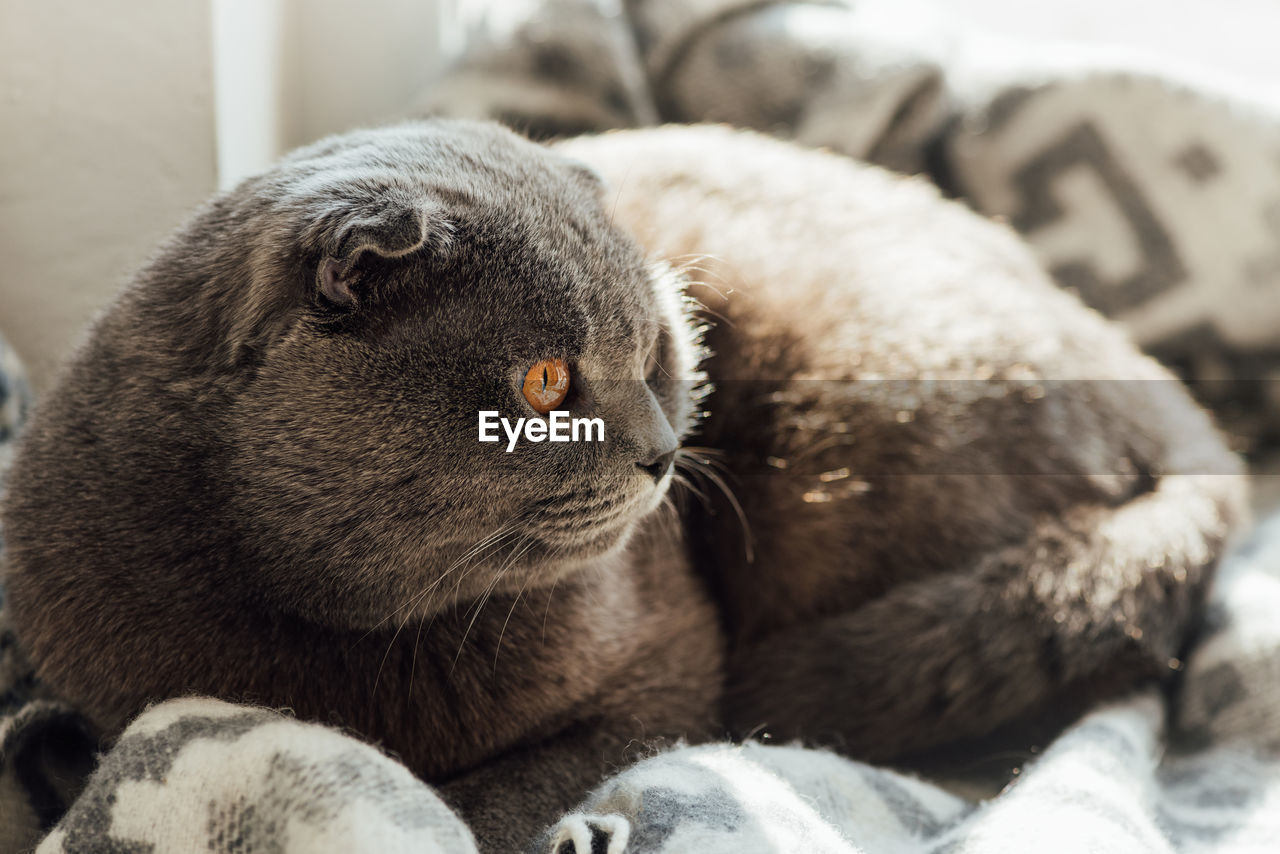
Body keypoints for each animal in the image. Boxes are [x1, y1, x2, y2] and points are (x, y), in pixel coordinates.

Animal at [0, 118, 1239, 850]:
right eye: (546, 380)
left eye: (654, 350)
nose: (660, 451)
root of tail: (1179, 408)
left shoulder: (667, 661)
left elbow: (503, 791)